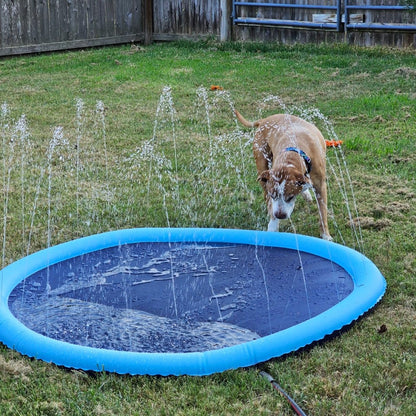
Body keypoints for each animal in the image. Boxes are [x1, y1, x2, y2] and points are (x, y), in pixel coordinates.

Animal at [236, 109, 334, 240]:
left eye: (290, 197)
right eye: (273, 195)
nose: (280, 215)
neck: (292, 157)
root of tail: (263, 120)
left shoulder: (320, 185)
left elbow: (322, 212)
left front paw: (326, 236)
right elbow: (272, 205)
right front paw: (273, 226)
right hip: (262, 164)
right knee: (266, 195)